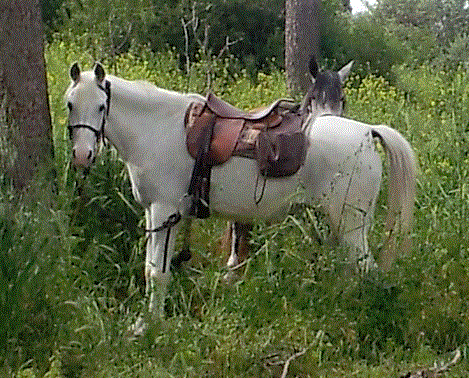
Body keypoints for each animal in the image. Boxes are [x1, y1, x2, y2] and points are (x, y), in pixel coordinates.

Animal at [65, 61, 414, 318]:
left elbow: (158, 273)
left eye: (101, 106)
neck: (158, 127)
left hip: (350, 225)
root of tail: (368, 132)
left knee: (367, 271)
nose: (82, 155)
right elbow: (152, 270)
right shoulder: (154, 213)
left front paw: (151, 327)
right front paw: (145, 323)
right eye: (69, 104)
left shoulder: (166, 211)